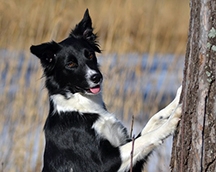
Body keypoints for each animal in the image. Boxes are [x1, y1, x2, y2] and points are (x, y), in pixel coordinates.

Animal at [30, 9, 182, 172]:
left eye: (90, 54)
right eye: (70, 64)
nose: (97, 77)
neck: (82, 107)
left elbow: (152, 121)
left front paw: (176, 101)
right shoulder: (103, 163)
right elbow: (146, 138)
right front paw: (171, 122)